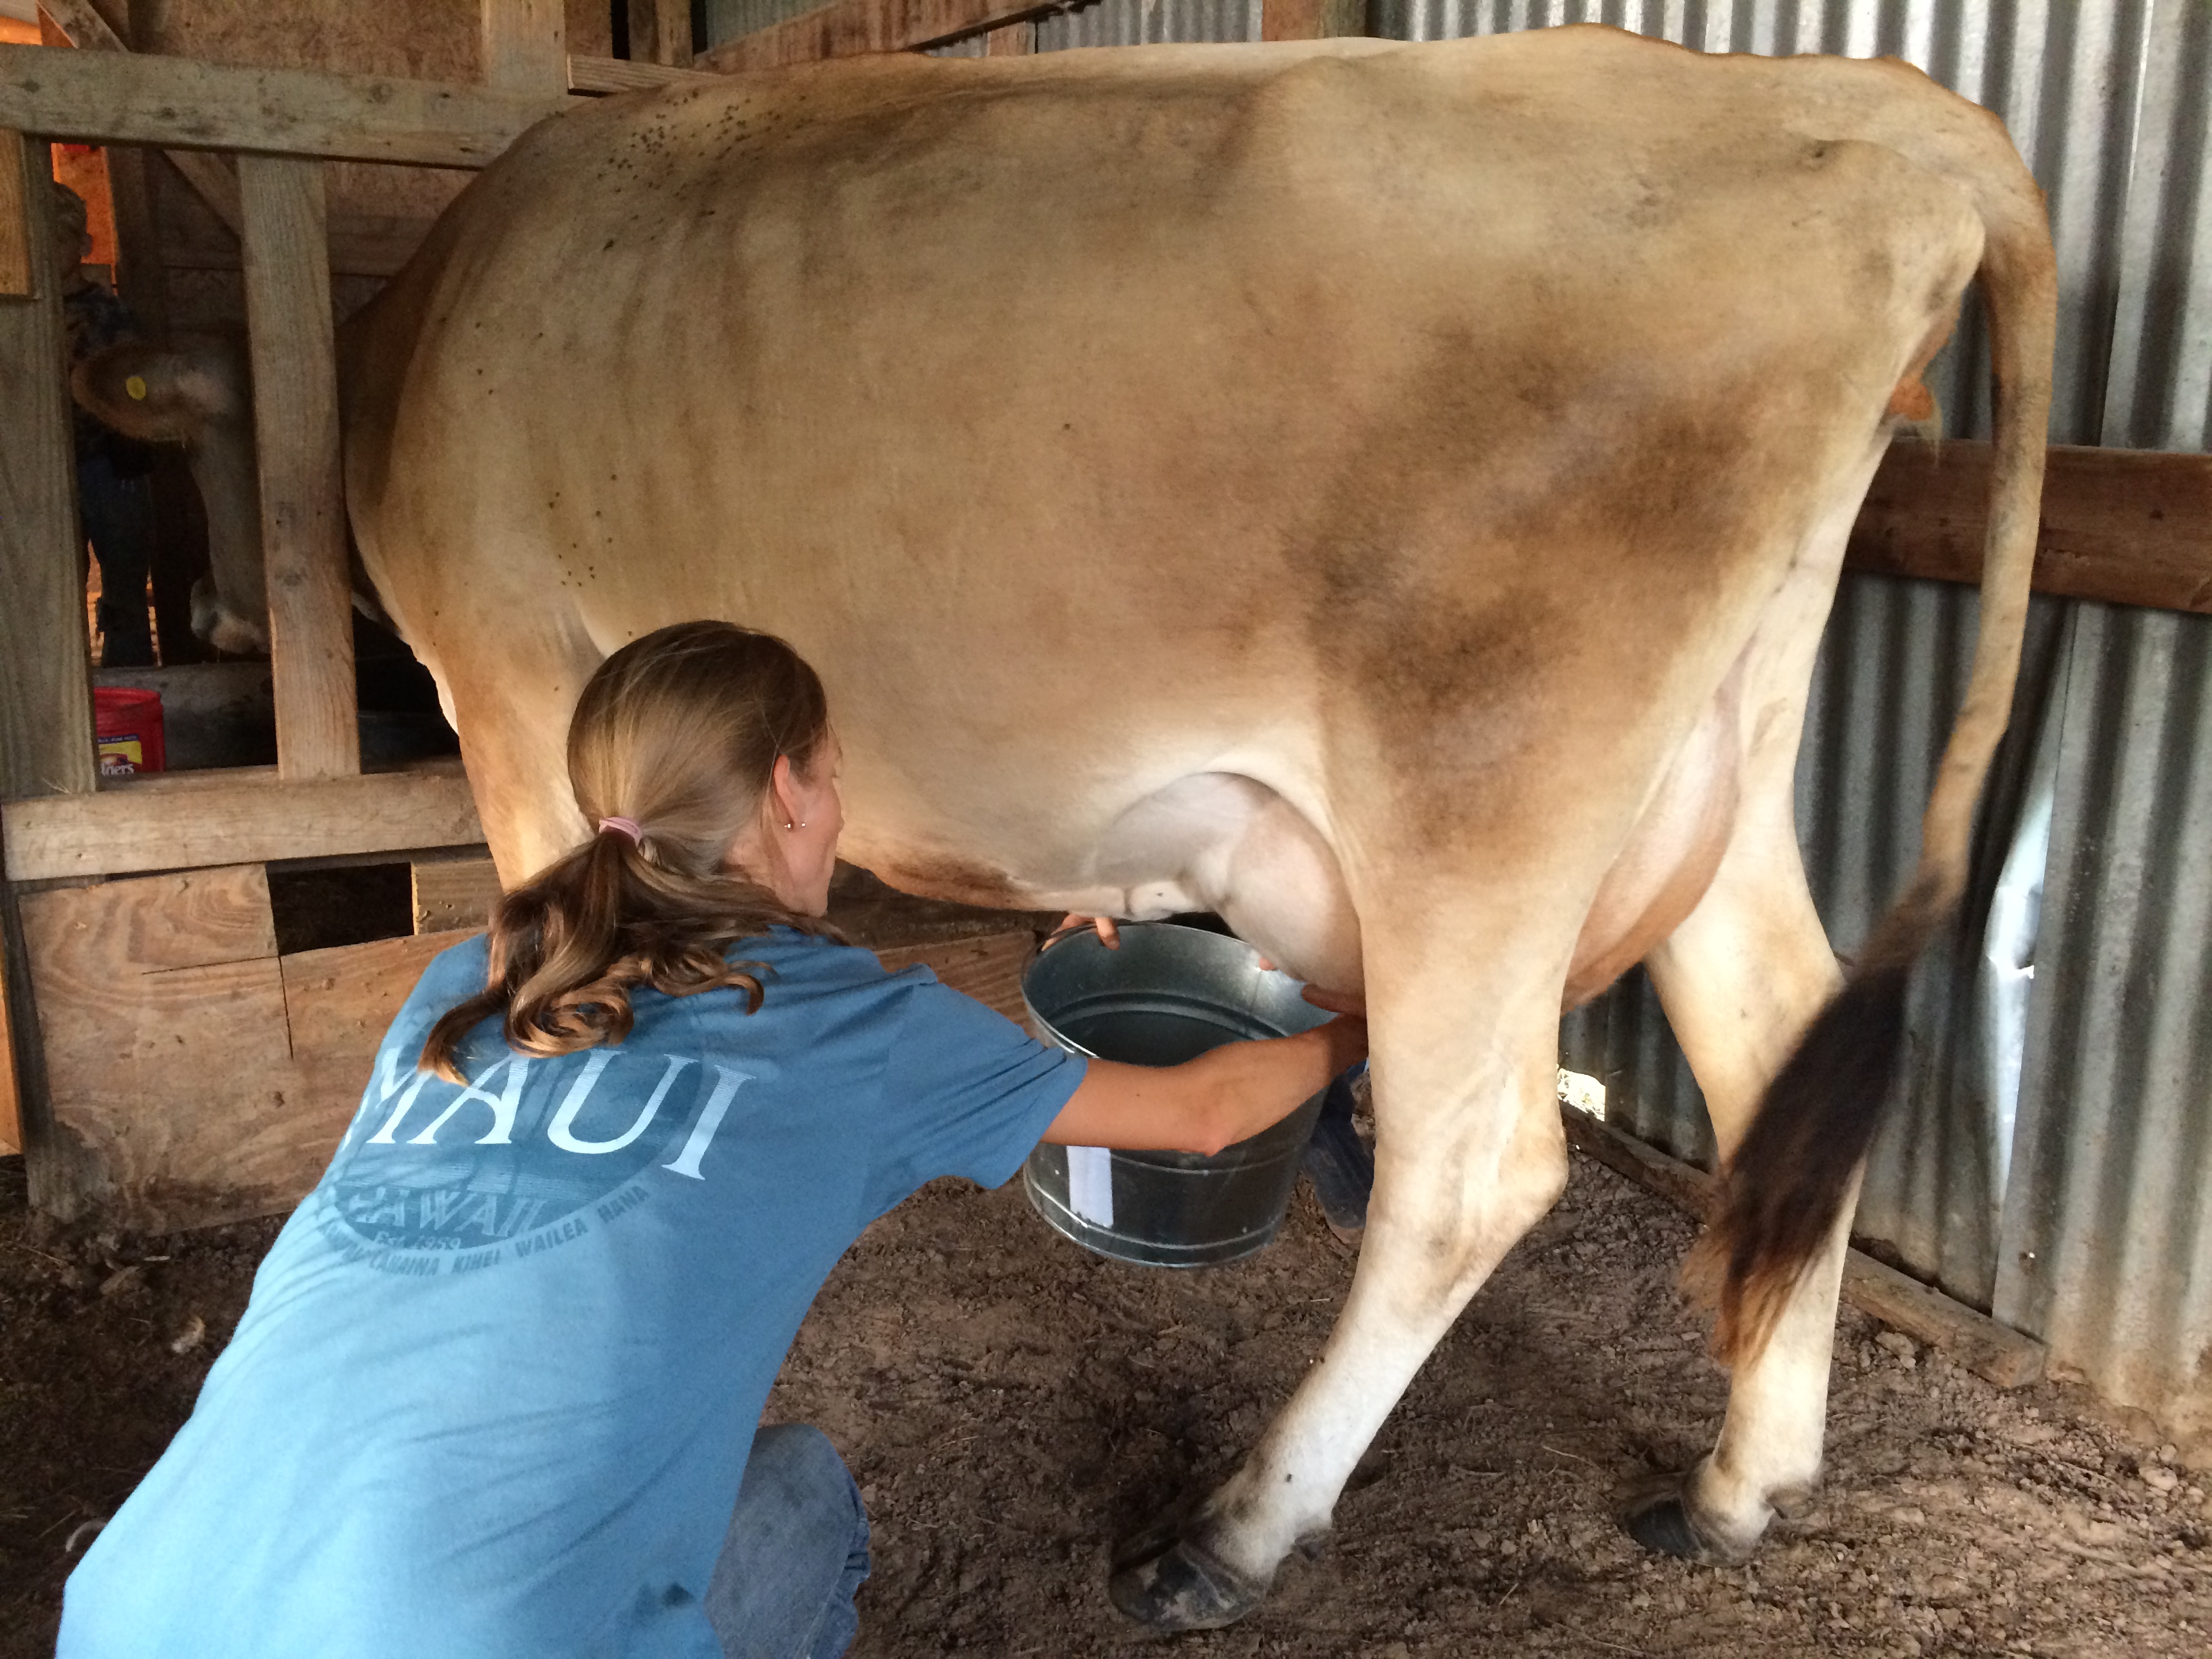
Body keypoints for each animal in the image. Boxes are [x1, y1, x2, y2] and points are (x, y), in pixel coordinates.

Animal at [78, 28, 2055, 1631]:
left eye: (191, 466)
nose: (229, 620)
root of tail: (1853, 107)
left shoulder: (512, 690)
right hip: (1722, 751)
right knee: (1777, 1050)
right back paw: (1740, 1482)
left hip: (1479, 788)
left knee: (1476, 1164)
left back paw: (1235, 1531)